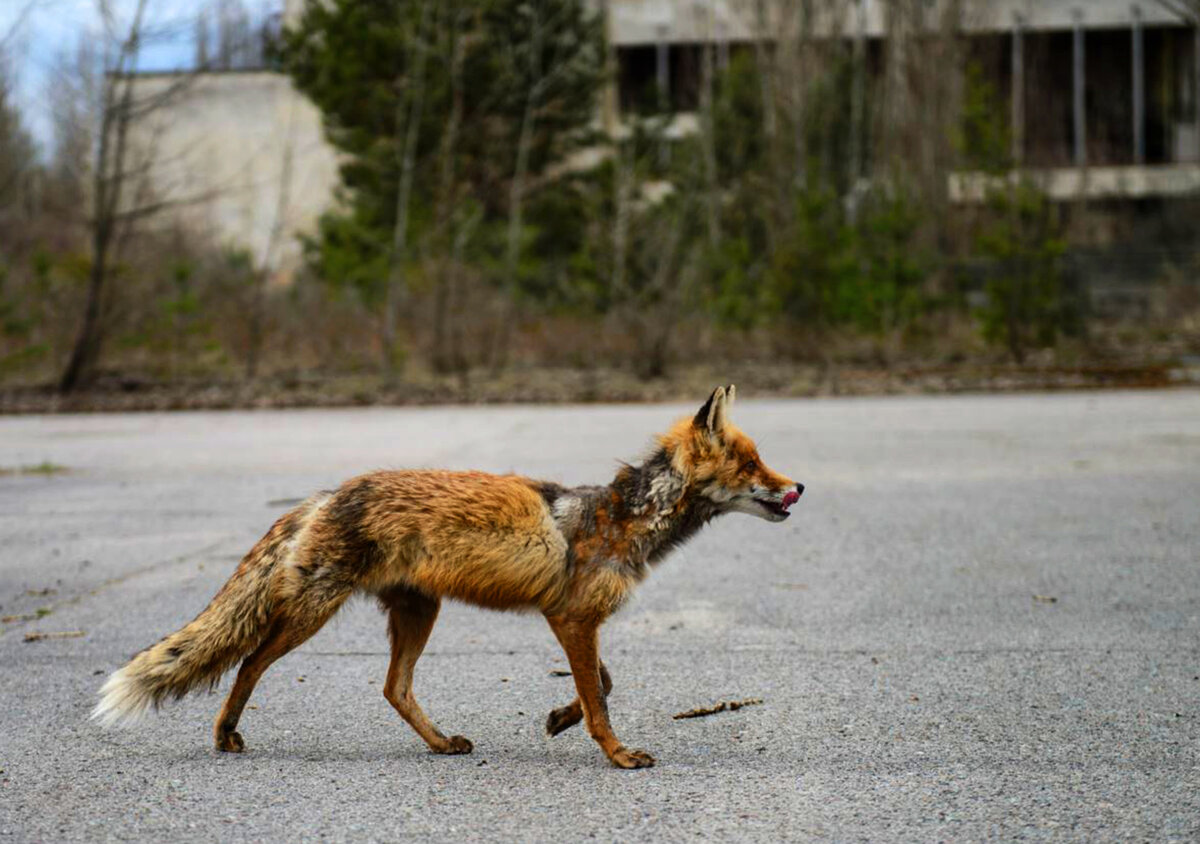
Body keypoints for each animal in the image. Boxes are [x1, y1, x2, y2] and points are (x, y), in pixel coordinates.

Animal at [93, 386, 801, 768]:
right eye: (750, 465)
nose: (798, 488)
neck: (622, 518)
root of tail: (328, 493)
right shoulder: (571, 617)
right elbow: (601, 697)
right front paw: (615, 753)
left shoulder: (575, 620)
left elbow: (600, 683)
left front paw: (558, 719)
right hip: (313, 613)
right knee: (249, 662)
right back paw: (225, 734)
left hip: (418, 612)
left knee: (393, 688)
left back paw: (439, 744)